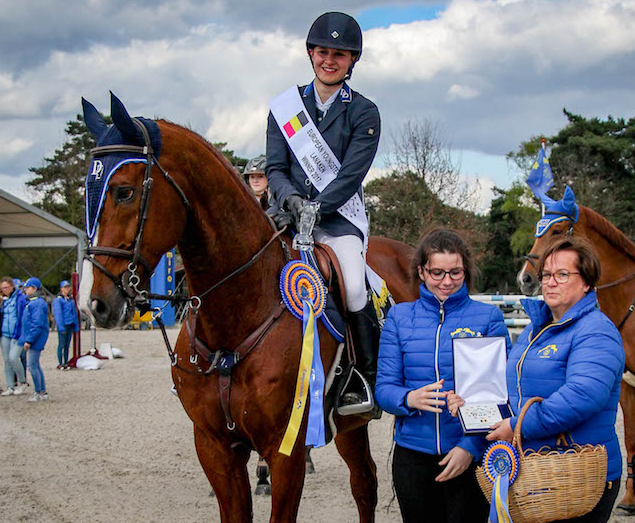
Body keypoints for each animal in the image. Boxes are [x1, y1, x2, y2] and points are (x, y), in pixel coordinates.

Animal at [78, 95, 418, 523]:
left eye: (123, 192)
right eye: (87, 191)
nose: (97, 304)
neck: (239, 312)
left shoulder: (285, 451)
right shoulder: (215, 448)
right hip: (349, 426)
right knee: (365, 483)